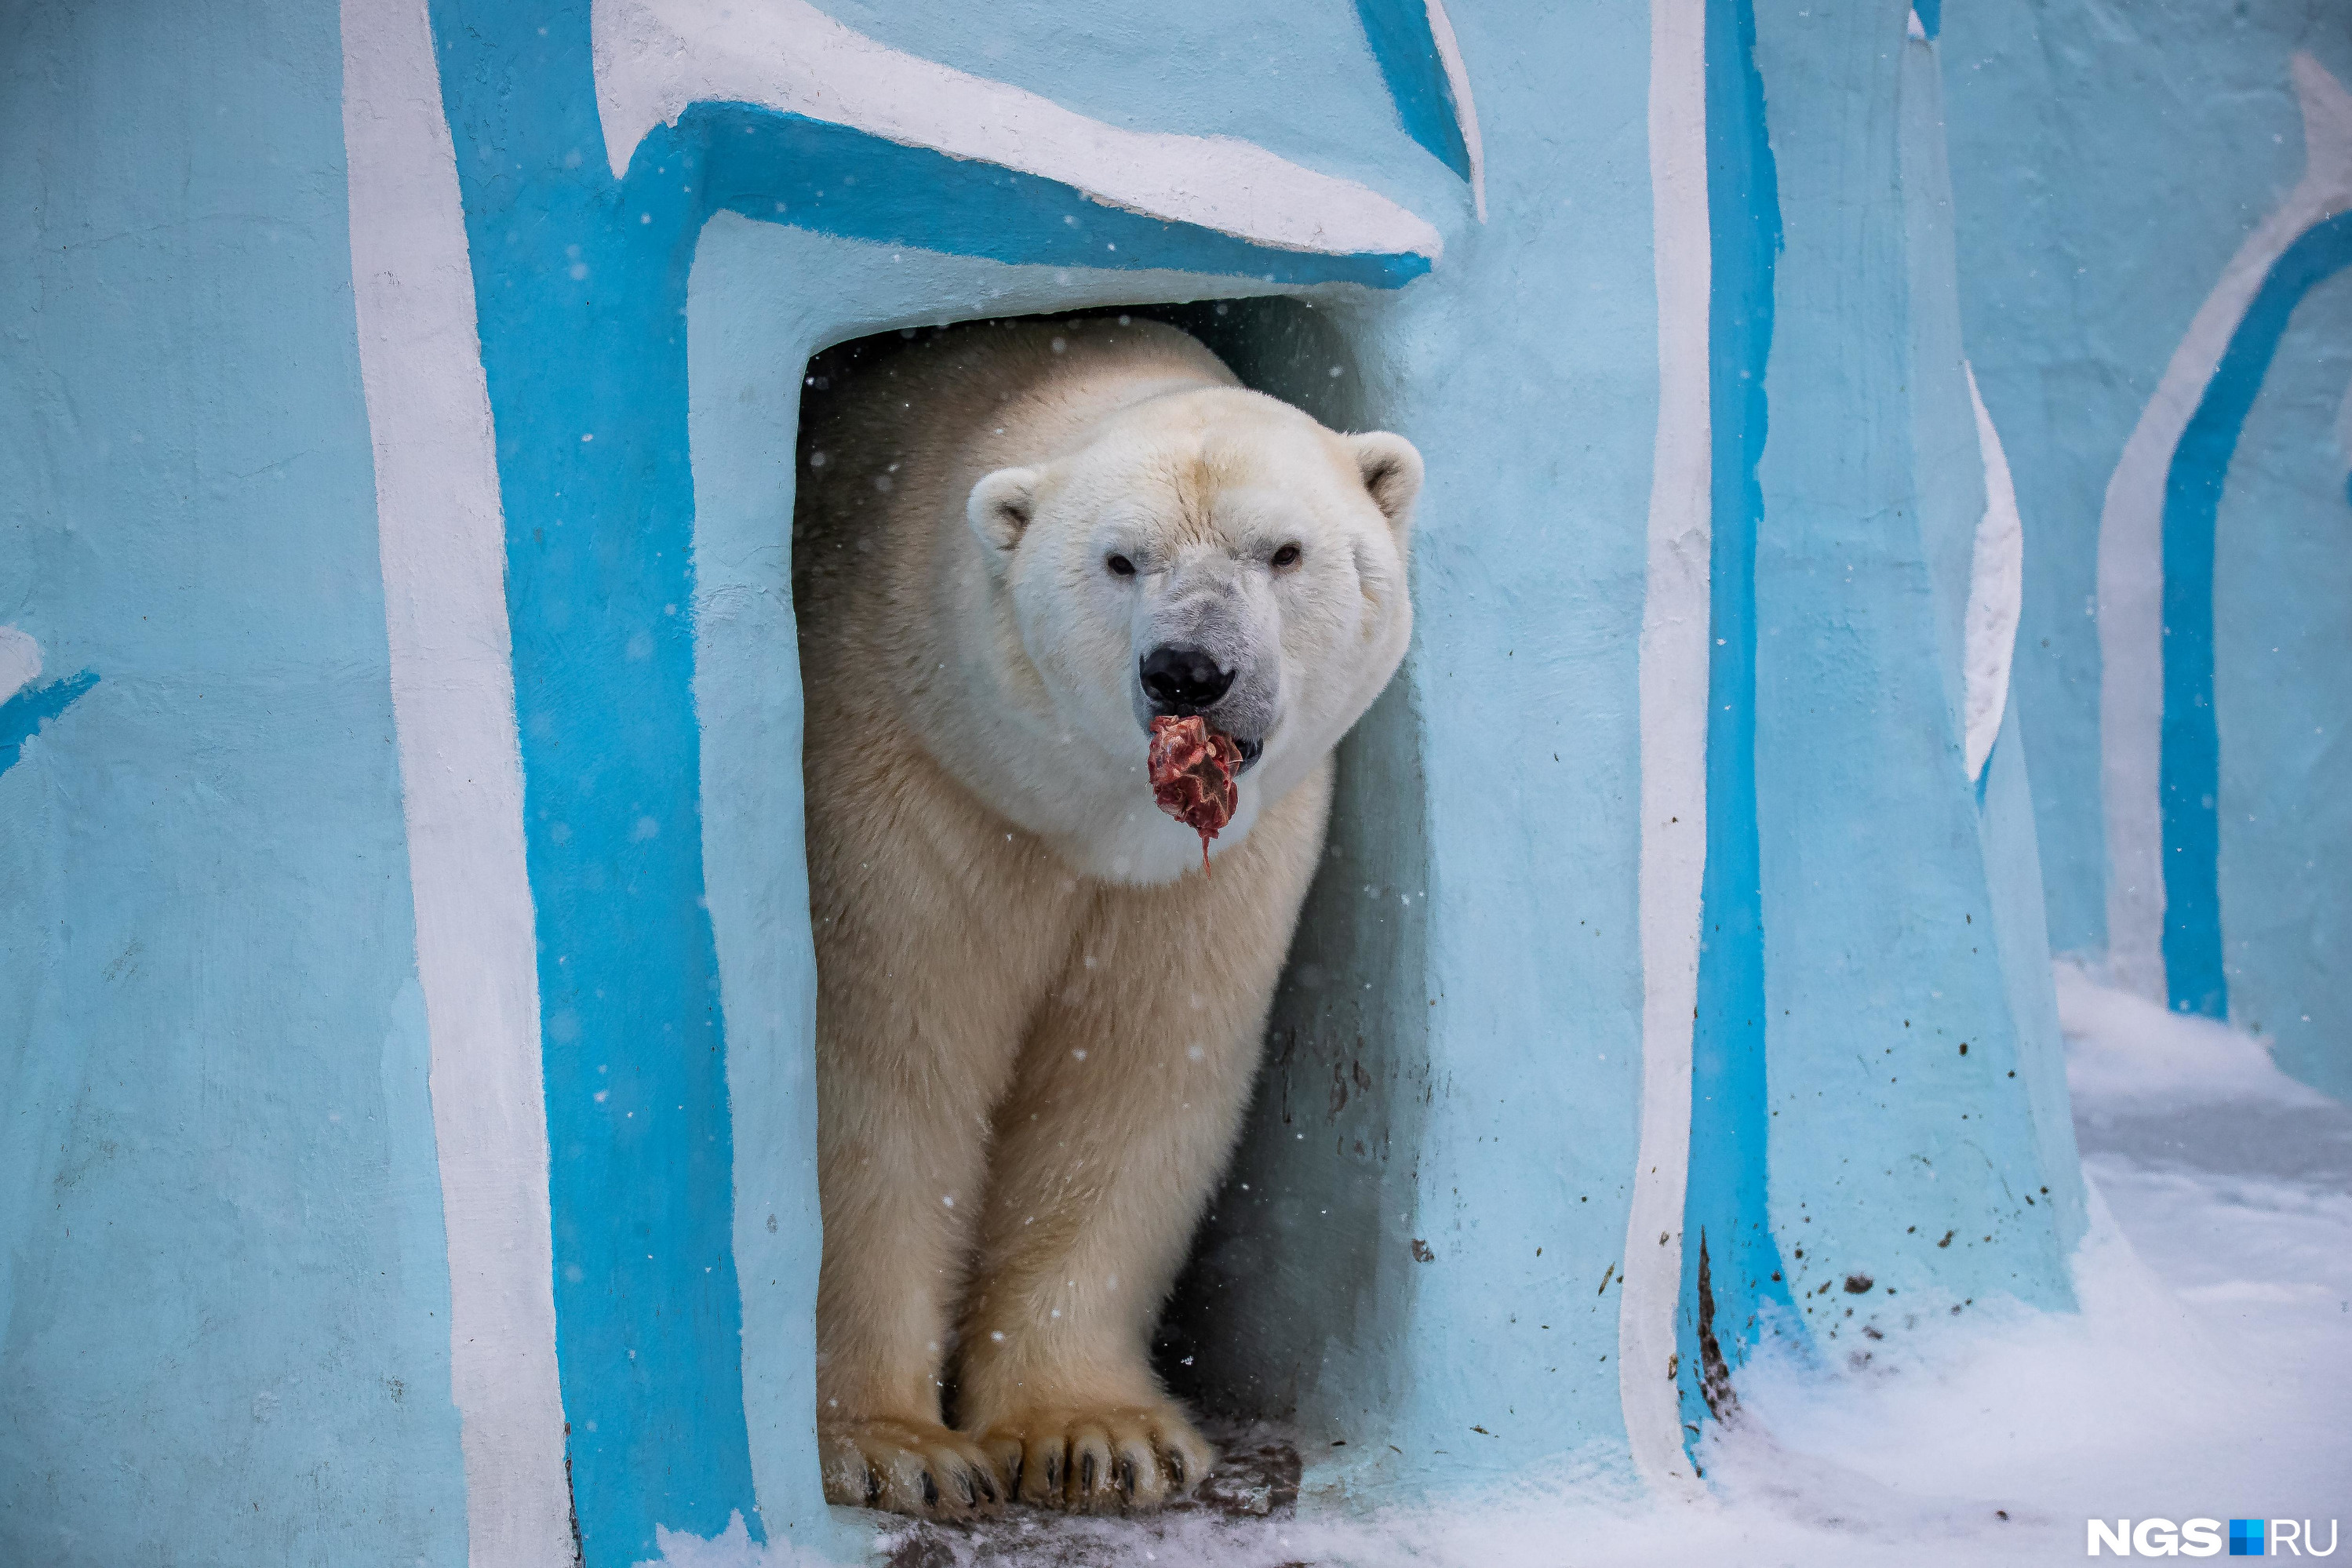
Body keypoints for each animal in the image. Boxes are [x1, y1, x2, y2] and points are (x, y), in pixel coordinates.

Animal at [795, 315, 1411, 1523]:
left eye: (1284, 551)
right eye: (1121, 559)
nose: (1190, 670)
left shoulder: (1211, 873)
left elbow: (1129, 1077)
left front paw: (1099, 1435)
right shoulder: (901, 786)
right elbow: (886, 1072)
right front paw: (890, 1444)